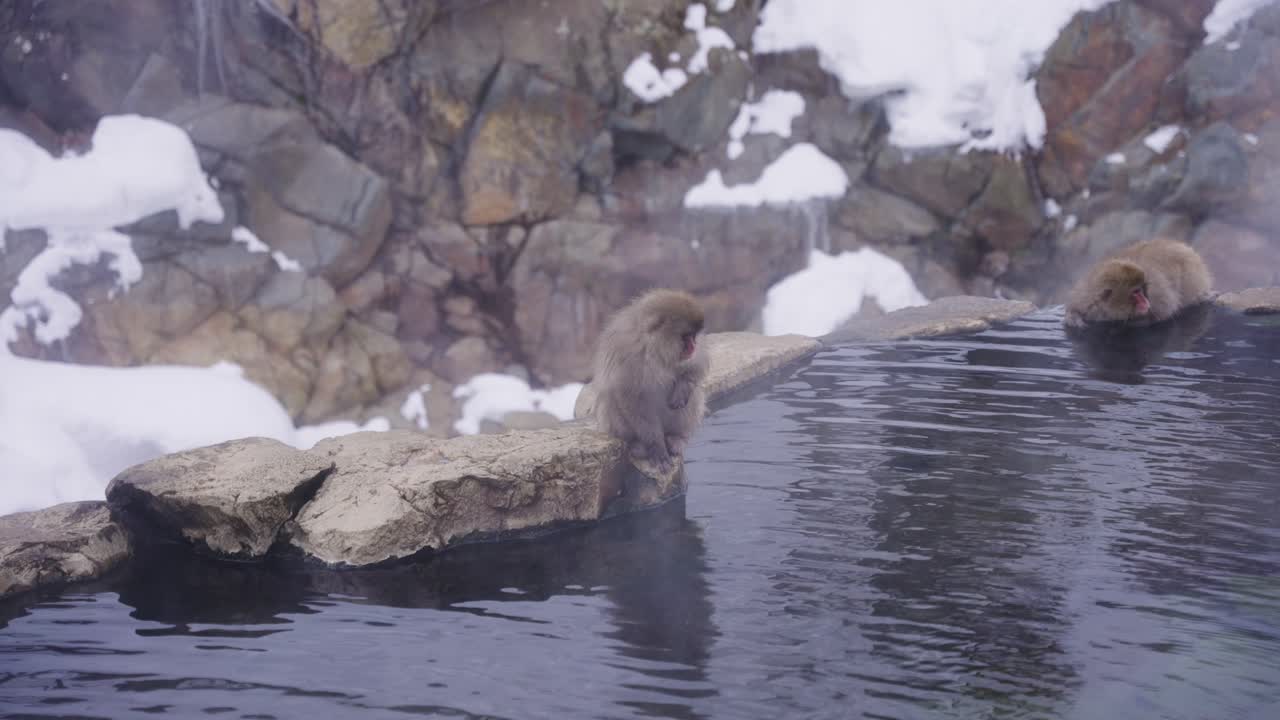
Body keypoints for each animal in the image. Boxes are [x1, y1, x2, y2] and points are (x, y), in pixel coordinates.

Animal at [592, 289, 709, 475]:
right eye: (686, 337)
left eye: (694, 336)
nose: (692, 346)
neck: (654, 351)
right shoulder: (627, 356)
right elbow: (631, 399)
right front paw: (656, 448)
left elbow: (696, 364)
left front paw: (682, 389)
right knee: (612, 399)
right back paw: (638, 445)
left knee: (694, 395)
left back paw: (676, 438)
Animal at [1064, 238, 1213, 328]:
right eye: (1136, 292)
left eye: (1142, 289)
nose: (1146, 302)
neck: (1104, 309)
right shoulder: (1084, 295)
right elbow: (1074, 307)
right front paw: (1074, 317)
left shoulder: (1157, 295)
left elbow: (1165, 312)